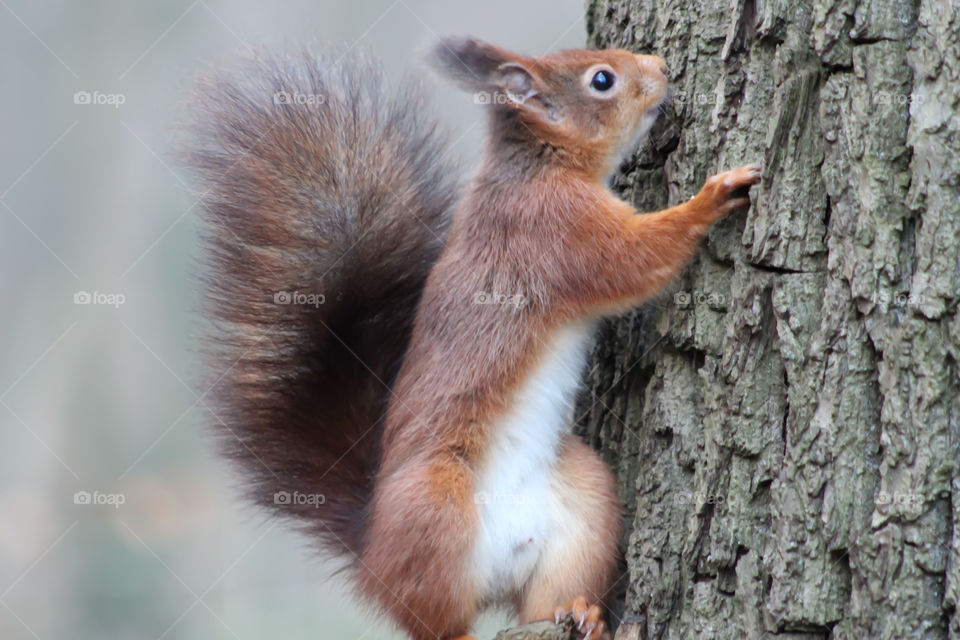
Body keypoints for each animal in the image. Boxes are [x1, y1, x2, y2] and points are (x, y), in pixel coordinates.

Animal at [184, 37, 761, 640]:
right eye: (602, 80)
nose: (664, 69)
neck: (537, 167)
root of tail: (371, 555)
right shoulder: (556, 231)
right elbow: (635, 259)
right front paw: (712, 197)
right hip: (435, 504)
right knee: (436, 622)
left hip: (585, 506)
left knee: (543, 601)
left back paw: (583, 615)